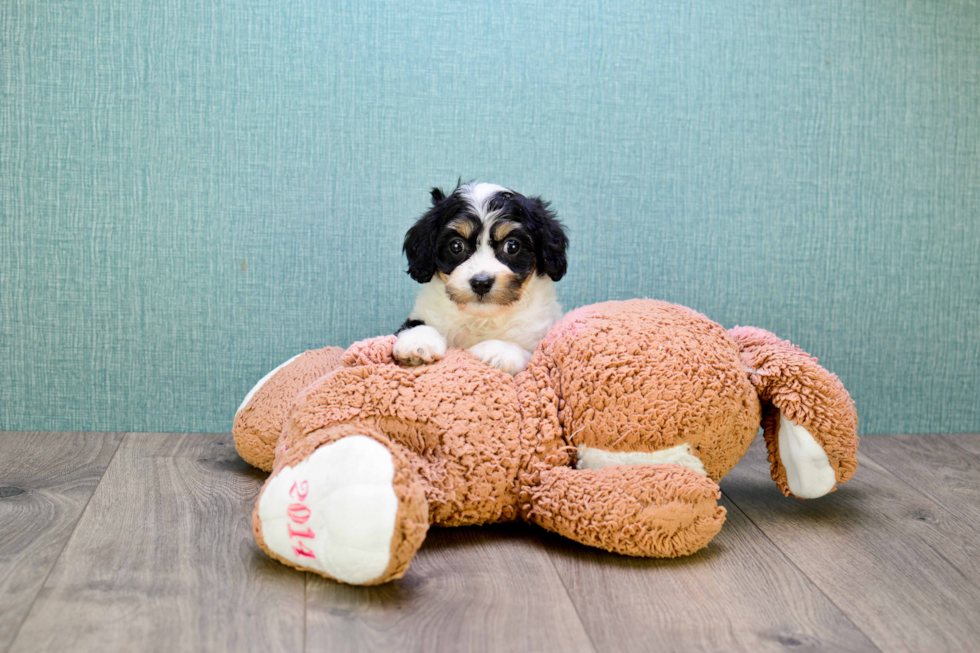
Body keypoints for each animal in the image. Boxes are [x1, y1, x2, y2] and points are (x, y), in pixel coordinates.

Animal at [394, 183, 572, 374]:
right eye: (456, 245)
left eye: (512, 246)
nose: (481, 283)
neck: (482, 319)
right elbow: (418, 325)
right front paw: (418, 343)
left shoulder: (537, 342)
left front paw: (499, 351)